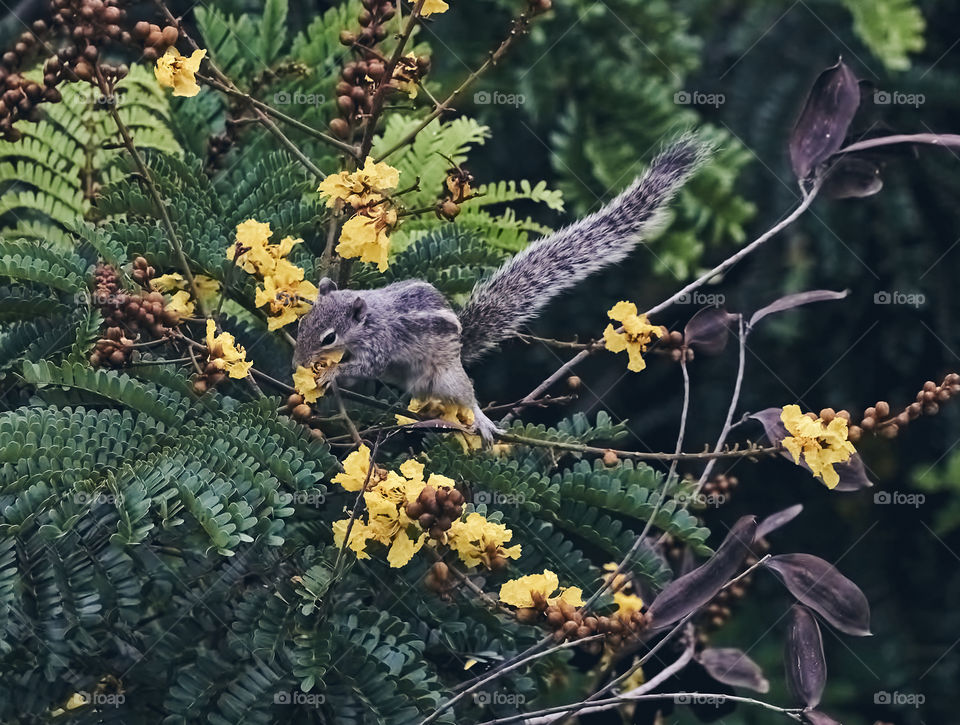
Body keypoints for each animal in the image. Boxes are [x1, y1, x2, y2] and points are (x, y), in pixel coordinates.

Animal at [293, 136, 709, 442]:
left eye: (329, 337)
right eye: (302, 325)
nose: (298, 361)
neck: (367, 321)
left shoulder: (381, 345)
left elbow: (365, 365)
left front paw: (330, 374)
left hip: (446, 375)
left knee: (467, 393)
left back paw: (481, 420)